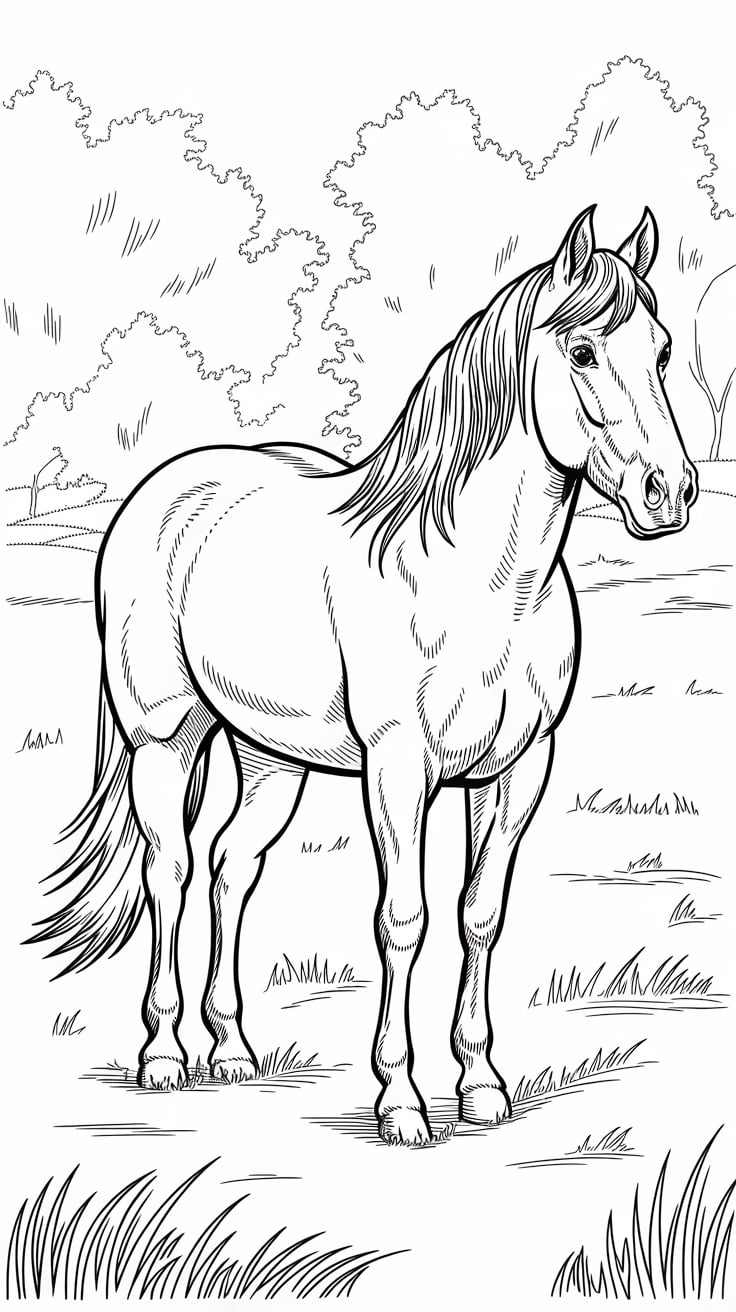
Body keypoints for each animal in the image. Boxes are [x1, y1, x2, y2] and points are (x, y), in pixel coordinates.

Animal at [30, 205, 697, 1145]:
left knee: (231, 866)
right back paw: (162, 1056)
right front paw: (402, 1101)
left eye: (663, 350)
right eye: (582, 352)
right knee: (171, 872)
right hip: (164, 739)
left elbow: (479, 915)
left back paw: (232, 1051)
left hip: (270, 757)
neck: (483, 583)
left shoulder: (517, 769)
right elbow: (403, 919)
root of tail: (167, 490)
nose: (669, 493)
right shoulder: (398, 768)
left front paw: (482, 1085)